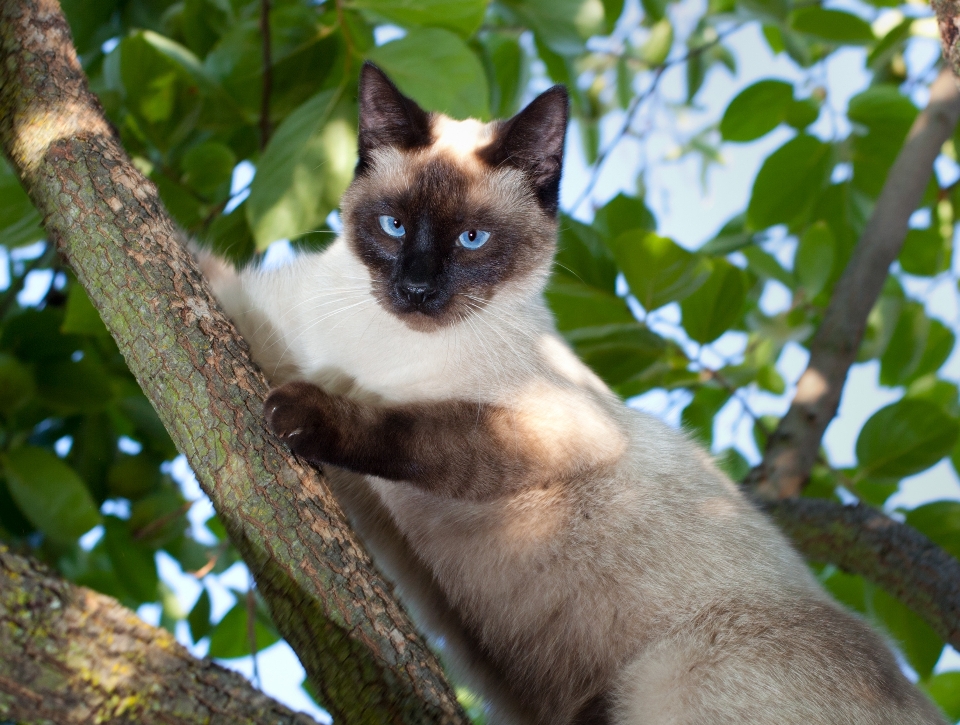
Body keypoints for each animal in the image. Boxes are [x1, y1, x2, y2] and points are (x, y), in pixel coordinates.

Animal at [197, 63, 944, 724]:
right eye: (394, 226)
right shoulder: (249, 316)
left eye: (472, 239)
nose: (416, 289)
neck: (384, 343)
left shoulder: (548, 423)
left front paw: (304, 411)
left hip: (666, 676)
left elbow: (410, 430)